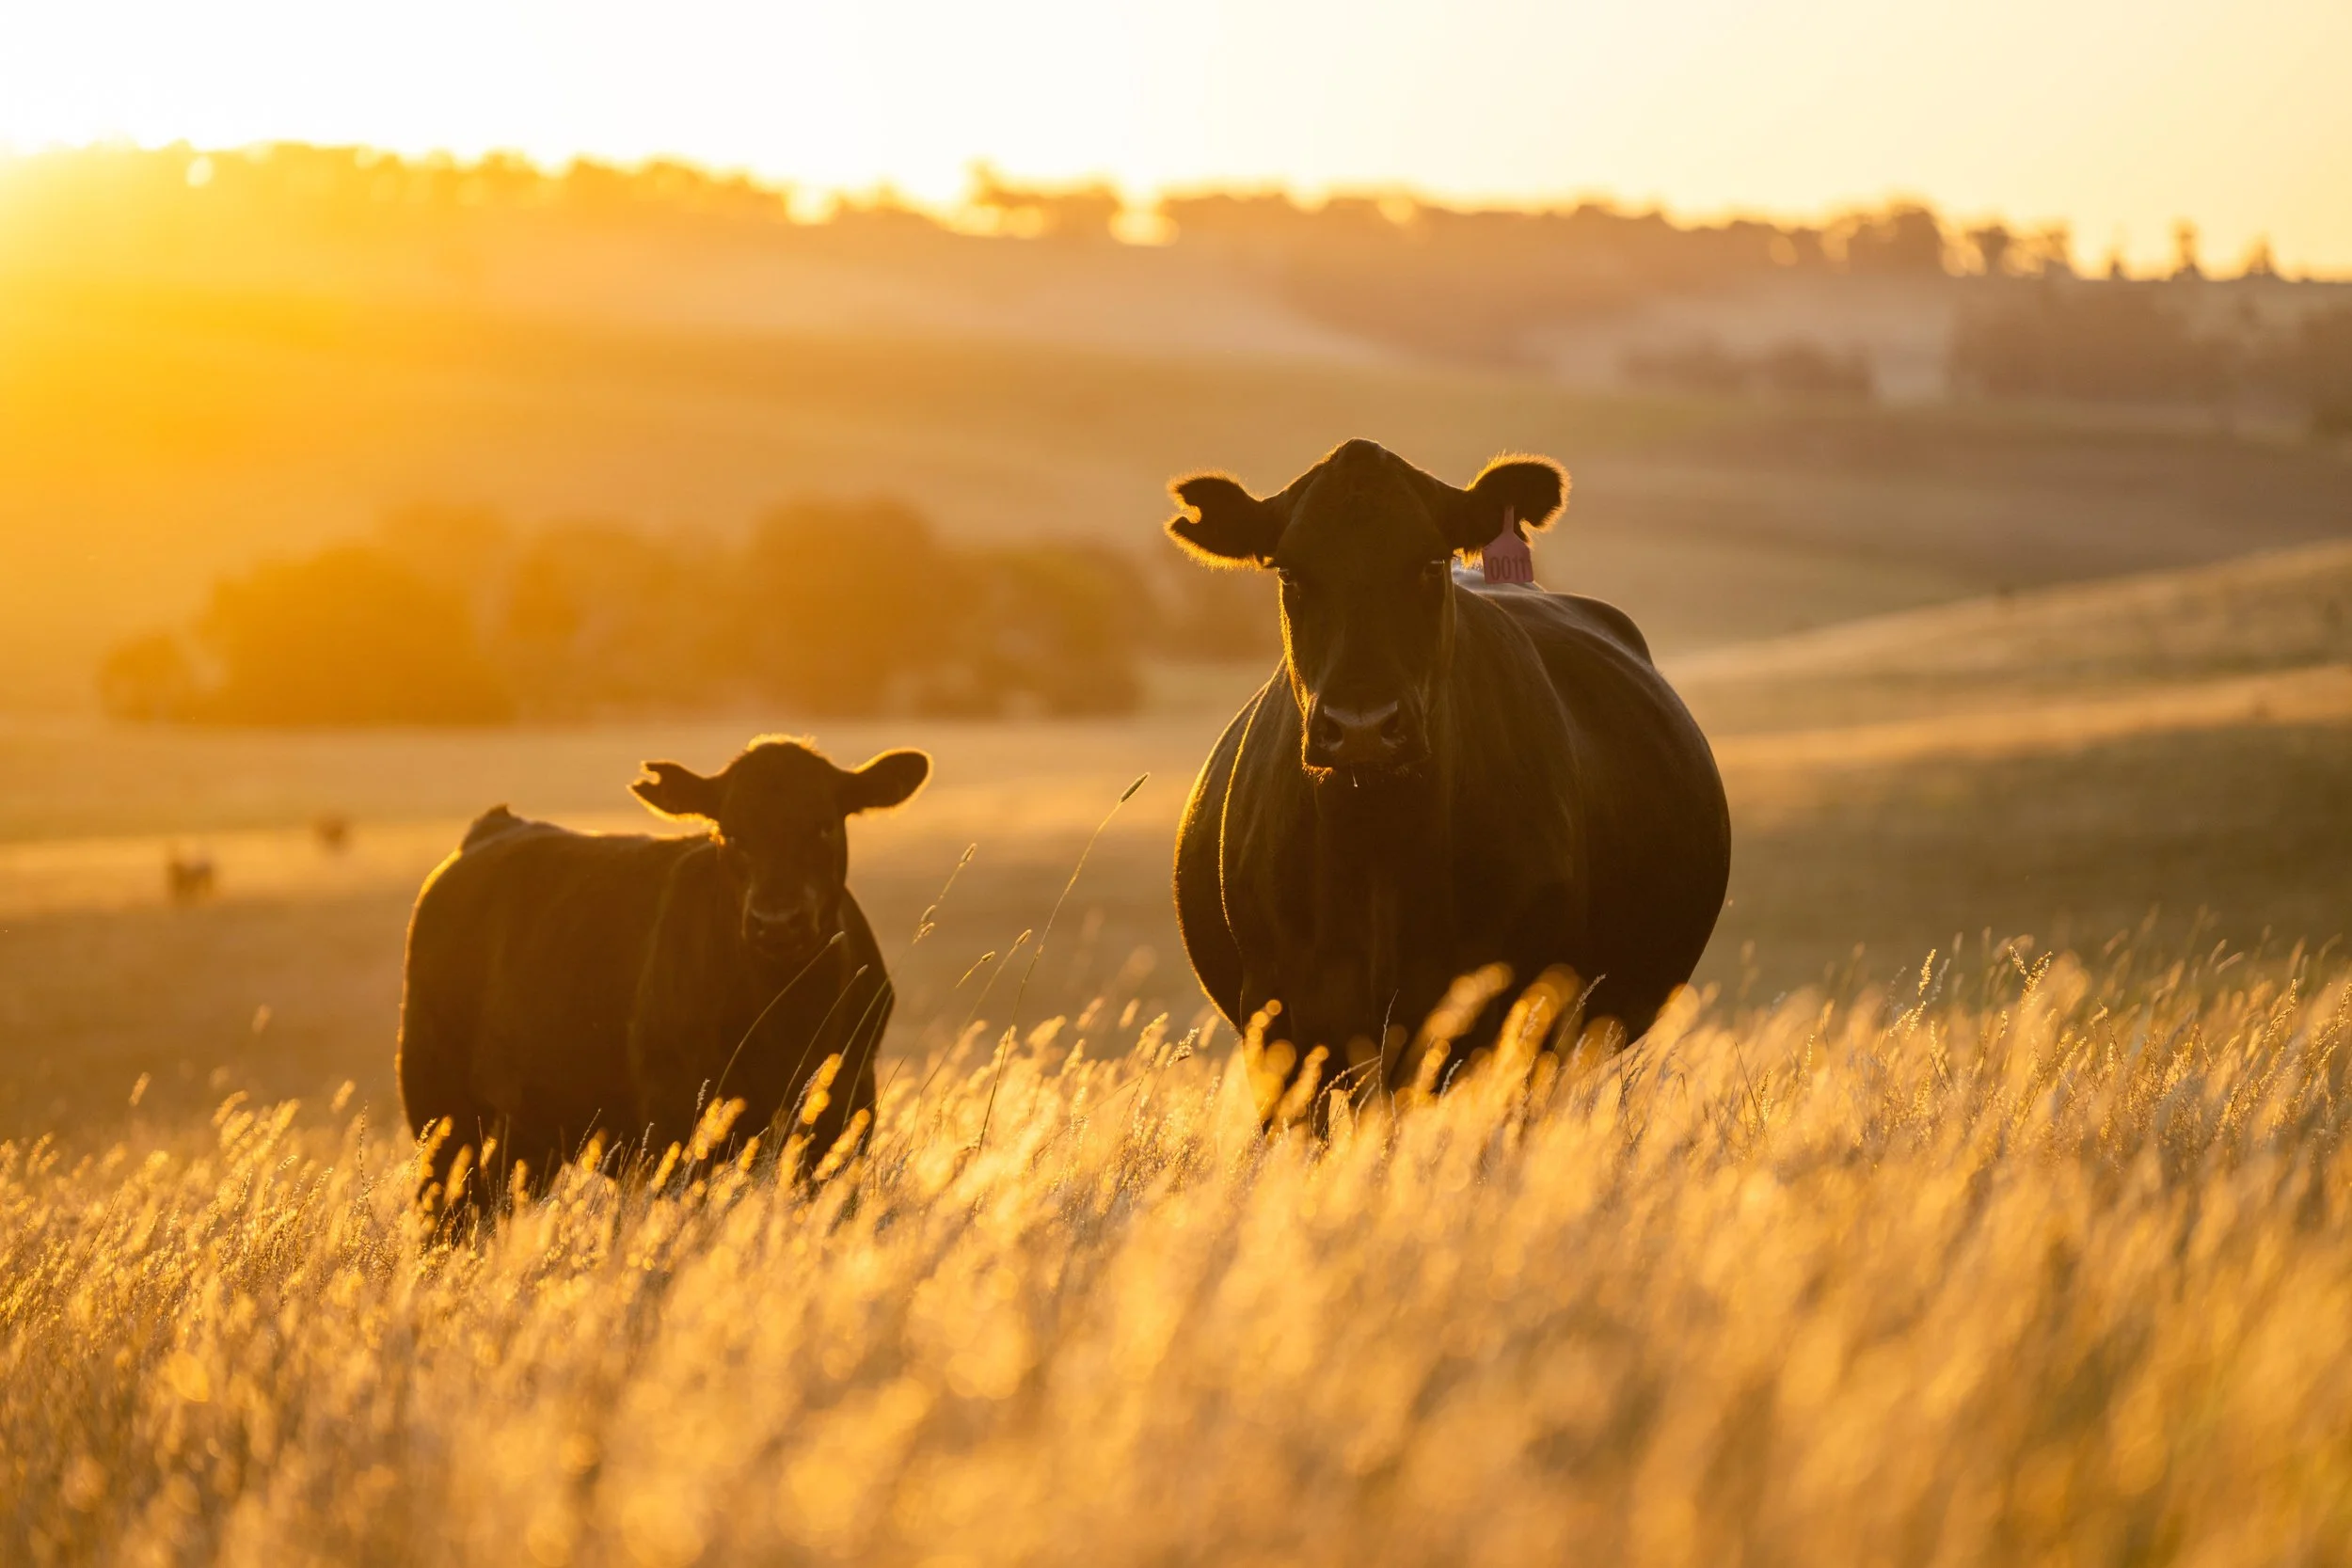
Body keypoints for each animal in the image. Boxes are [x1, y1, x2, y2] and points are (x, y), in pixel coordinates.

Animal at [397, 737, 929, 1210]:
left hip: (530, 1125)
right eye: (730, 833)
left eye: (822, 826)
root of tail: (495, 827)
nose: (777, 922)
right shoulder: (670, 1117)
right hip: (437, 1099)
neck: (785, 1014)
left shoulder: (847, 1109)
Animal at [1165, 438, 1729, 1115]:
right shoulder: (1281, 1027)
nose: (1361, 725)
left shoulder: (1518, 1016)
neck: (1380, 842)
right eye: (1289, 573)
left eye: (1430, 563)